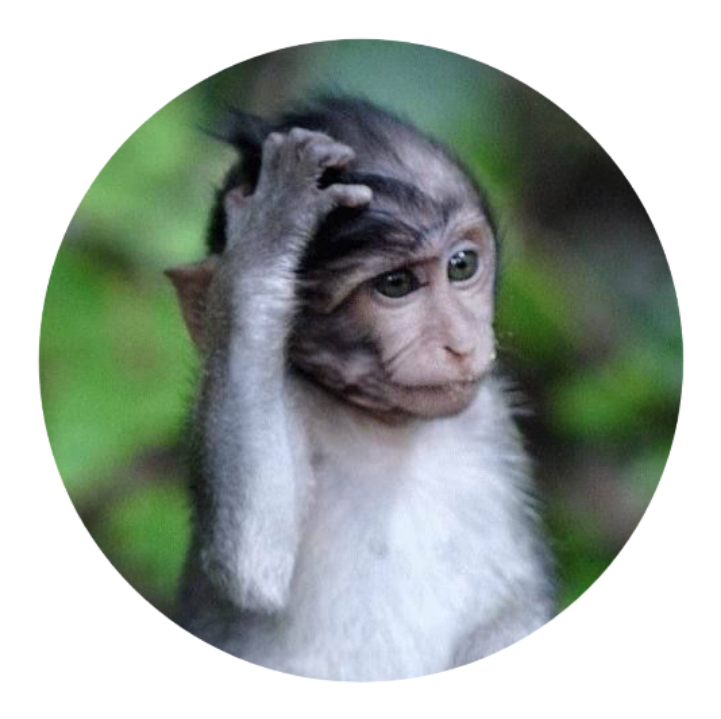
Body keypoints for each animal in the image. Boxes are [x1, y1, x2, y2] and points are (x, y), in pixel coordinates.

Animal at [167, 96, 554, 682]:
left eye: (461, 265)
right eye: (395, 285)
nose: (462, 344)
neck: (386, 431)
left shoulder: (490, 419)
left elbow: (510, 607)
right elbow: (251, 560)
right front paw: (266, 234)